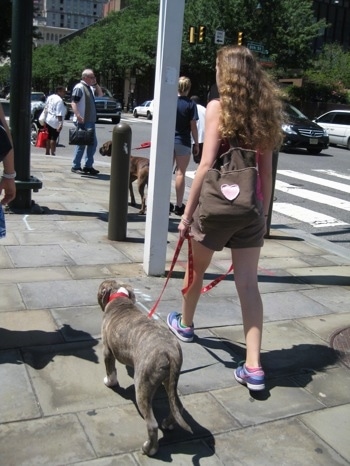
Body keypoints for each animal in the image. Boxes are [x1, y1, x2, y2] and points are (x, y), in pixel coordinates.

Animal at [97, 278, 193, 456]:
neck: (120, 297)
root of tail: (170, 353)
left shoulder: (107, 350)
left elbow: (110, 369)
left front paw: (109, 382)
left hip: (142, 384)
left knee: (151, 423)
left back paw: (149, 449)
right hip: (170, 380)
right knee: (178, 407)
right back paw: (167, 423)